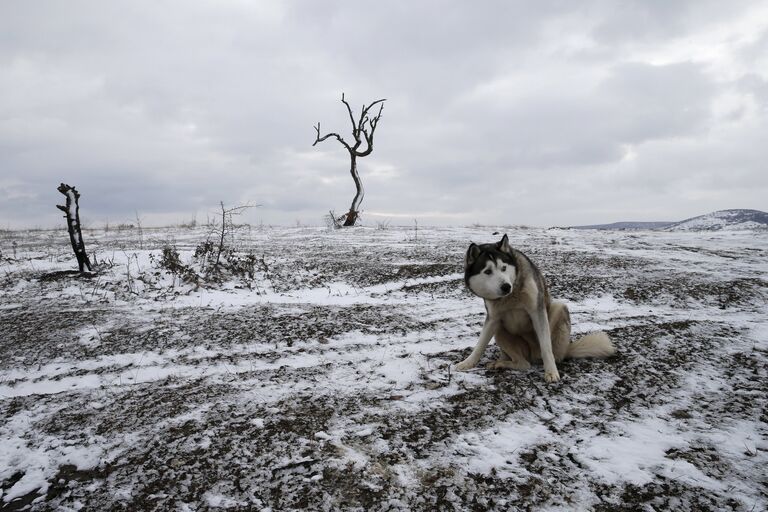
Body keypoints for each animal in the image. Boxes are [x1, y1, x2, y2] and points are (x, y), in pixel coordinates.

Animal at [452, 234, 616, 382]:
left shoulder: (537, 312)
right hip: (500, 330)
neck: (511, 297)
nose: (506, 286)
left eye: (504, 268)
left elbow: (546, 347)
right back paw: (501, 363)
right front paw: (467, 363)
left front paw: (551, 373)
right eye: (487, 271)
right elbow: (480, 345)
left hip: (559, 309)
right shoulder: (493, 319)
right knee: (523, 364)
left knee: (545, 354)